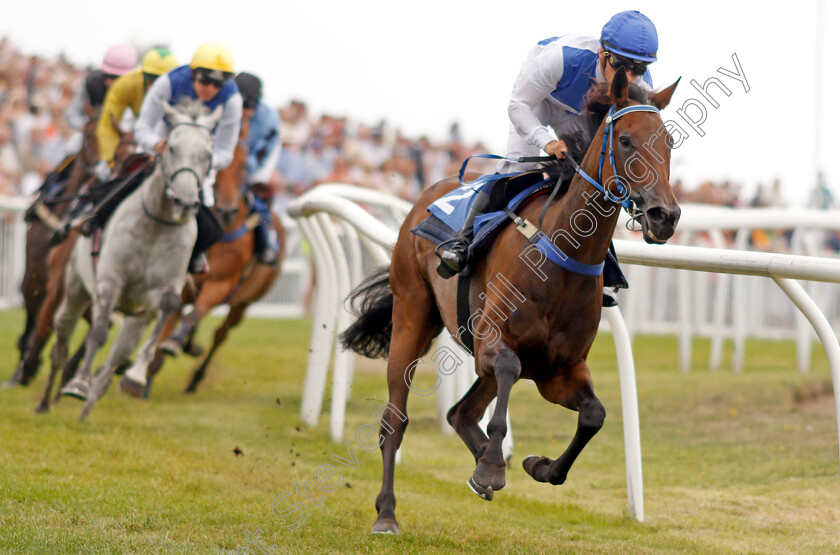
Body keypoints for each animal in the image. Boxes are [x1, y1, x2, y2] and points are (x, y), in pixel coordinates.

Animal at [37, 100, 223, 422]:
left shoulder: (164, 289)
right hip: (74, 289)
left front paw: (136, 377)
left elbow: (168, 308)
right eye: (172, 148)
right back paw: (47, 402)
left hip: (136, 318)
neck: (156, 224)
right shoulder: (110, 280)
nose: (186, 203)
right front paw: (78, 383)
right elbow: (97, 334)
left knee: (112, 363)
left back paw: (86, 413)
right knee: (61, 340)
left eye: (208, 155)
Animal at [139, 116, 288, 396]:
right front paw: (146, 373)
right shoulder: (183, 284)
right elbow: (169, 321)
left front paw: (170, 348)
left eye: (243, 168)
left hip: (244, 302)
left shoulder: (220, 284)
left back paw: (195, 378)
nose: (227, 211)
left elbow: (192, 317)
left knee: (220, 333)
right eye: (215, 171)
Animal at [338, 70, 680, 536]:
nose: (665, 216)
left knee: (461, 413)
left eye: (669, 141)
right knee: (396, 419)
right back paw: (387, 512)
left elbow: (594, 415)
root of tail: (427, 196)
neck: (562, 252)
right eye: (625, 140)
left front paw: (538, 465)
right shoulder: (493, 341)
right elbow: (507, 370)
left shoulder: (559, 370)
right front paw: (491, 469)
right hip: (412, 313)